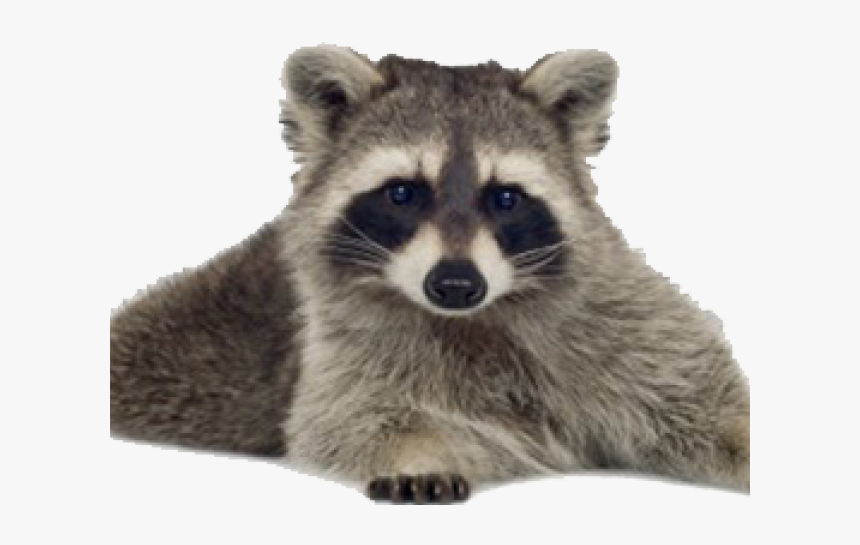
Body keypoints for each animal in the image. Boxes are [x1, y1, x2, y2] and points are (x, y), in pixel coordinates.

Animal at [110, 46, 751, 503]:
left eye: (506, 199)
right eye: (402, 193)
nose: (456, 284)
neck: (481, 314)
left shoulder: (615, 315)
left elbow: (697, 393)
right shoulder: (338, 339)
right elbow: (348, 418)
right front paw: (415, 453)